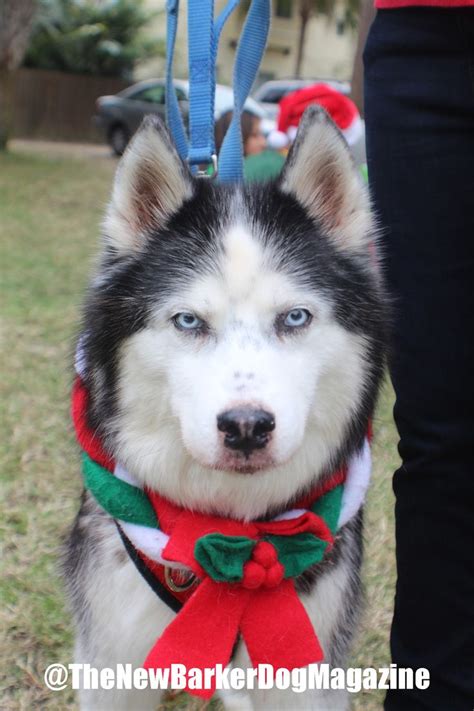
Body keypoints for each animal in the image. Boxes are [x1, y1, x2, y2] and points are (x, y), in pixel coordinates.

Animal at [65, 107, 386, 711]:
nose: (246, 428)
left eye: (295, 317)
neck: (232, 530)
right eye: (189, 321)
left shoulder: (306, 660)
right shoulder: (113, 653)